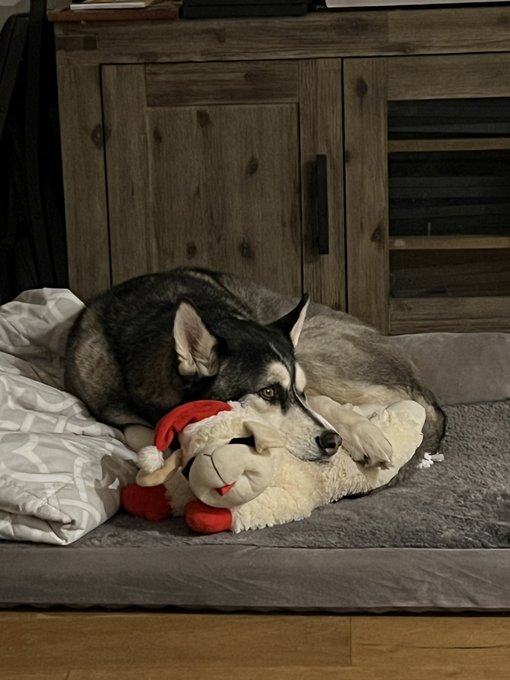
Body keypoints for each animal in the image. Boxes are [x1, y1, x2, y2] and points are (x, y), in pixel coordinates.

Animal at [65, 266, 444, 468]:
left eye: (295, 390)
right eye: (267, 392)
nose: (332, 441)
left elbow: (322, 404)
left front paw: (362, 432)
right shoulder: (109, 405)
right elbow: (137, 432)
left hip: (316, 348)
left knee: (405, 400)